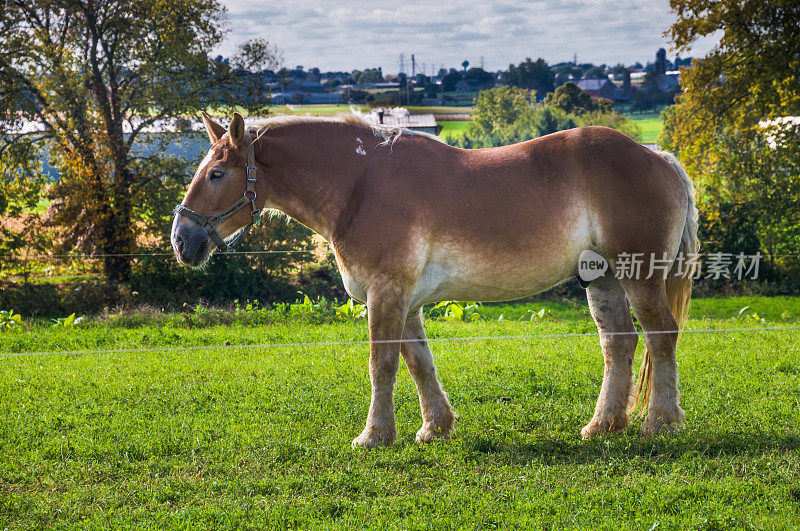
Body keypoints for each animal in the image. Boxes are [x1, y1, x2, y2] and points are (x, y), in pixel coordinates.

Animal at [172, 113, 696, 448]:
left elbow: (382, 364)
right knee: (620, 343)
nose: (180, 240)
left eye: (216, 172)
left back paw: (659, 422)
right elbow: (417, 362)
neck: (360, 186)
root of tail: (659, 157)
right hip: (602, 278)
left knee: (661, 336)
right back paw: (602, 425)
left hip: (639, 274)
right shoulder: (404, 300)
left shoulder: (386, 293)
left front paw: (374, 436)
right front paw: (434, 428)